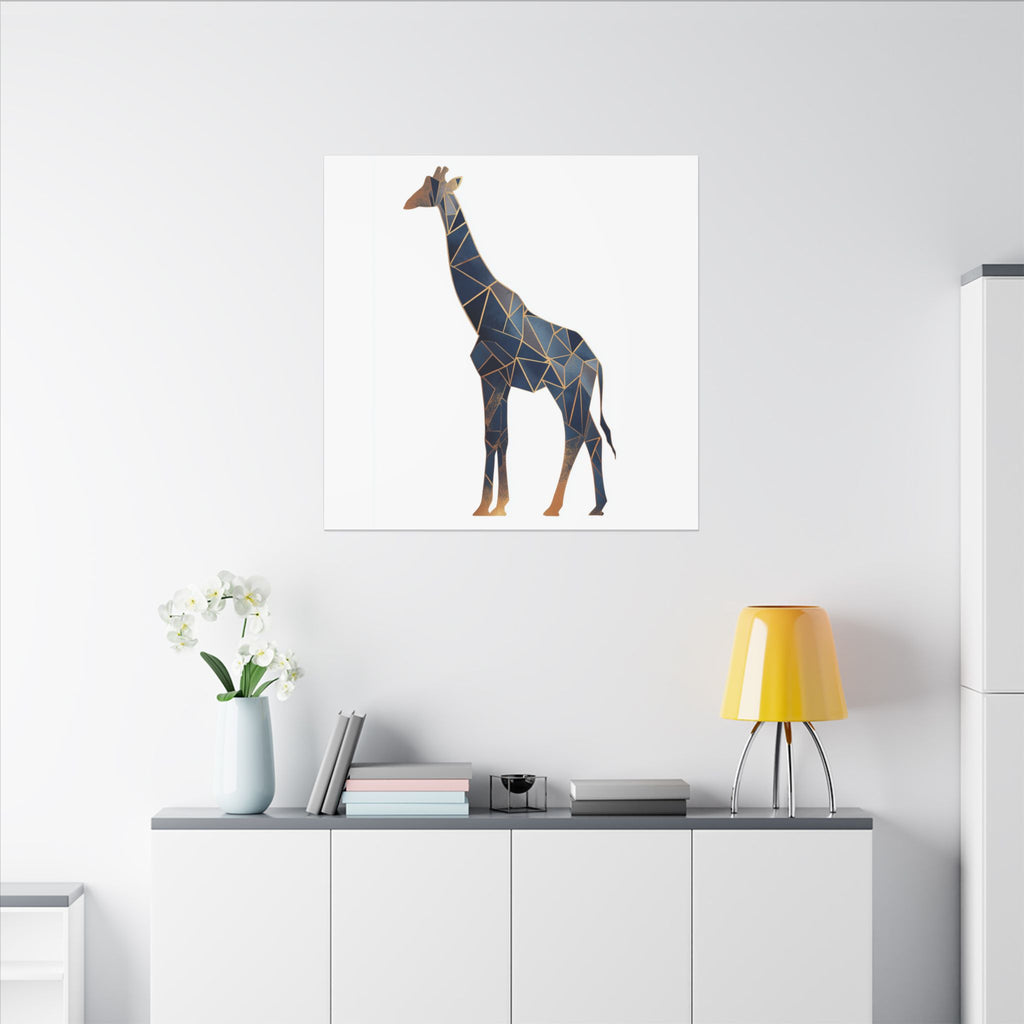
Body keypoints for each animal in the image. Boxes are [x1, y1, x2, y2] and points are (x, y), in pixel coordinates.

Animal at [404, 166, 615, 517]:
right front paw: (496, 505)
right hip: (575, 393)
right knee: (590, 437)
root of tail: (596, 362)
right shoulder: (499, 381)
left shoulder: (492, 376)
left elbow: (492, 437)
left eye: (431, 187)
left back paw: (557, 507)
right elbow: (500, 437)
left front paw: (488, 506)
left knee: (577, 435)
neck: (482, 313)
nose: (408, 202)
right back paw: (595, 506)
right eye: (423, 184)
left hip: (566, 391)